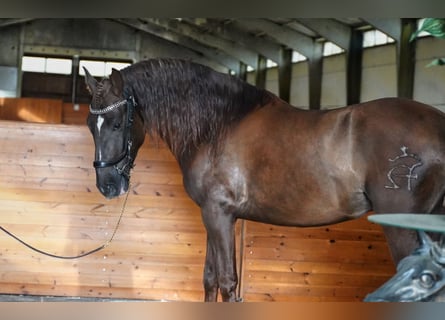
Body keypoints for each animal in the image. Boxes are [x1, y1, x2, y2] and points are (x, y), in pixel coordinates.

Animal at [83, 58, 444, 302]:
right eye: (90, 124)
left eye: (117, 123)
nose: (107, 186)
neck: (218, 126)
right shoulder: (214, 216)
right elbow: (210, 279)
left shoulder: (219, 214)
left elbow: (228, 282)